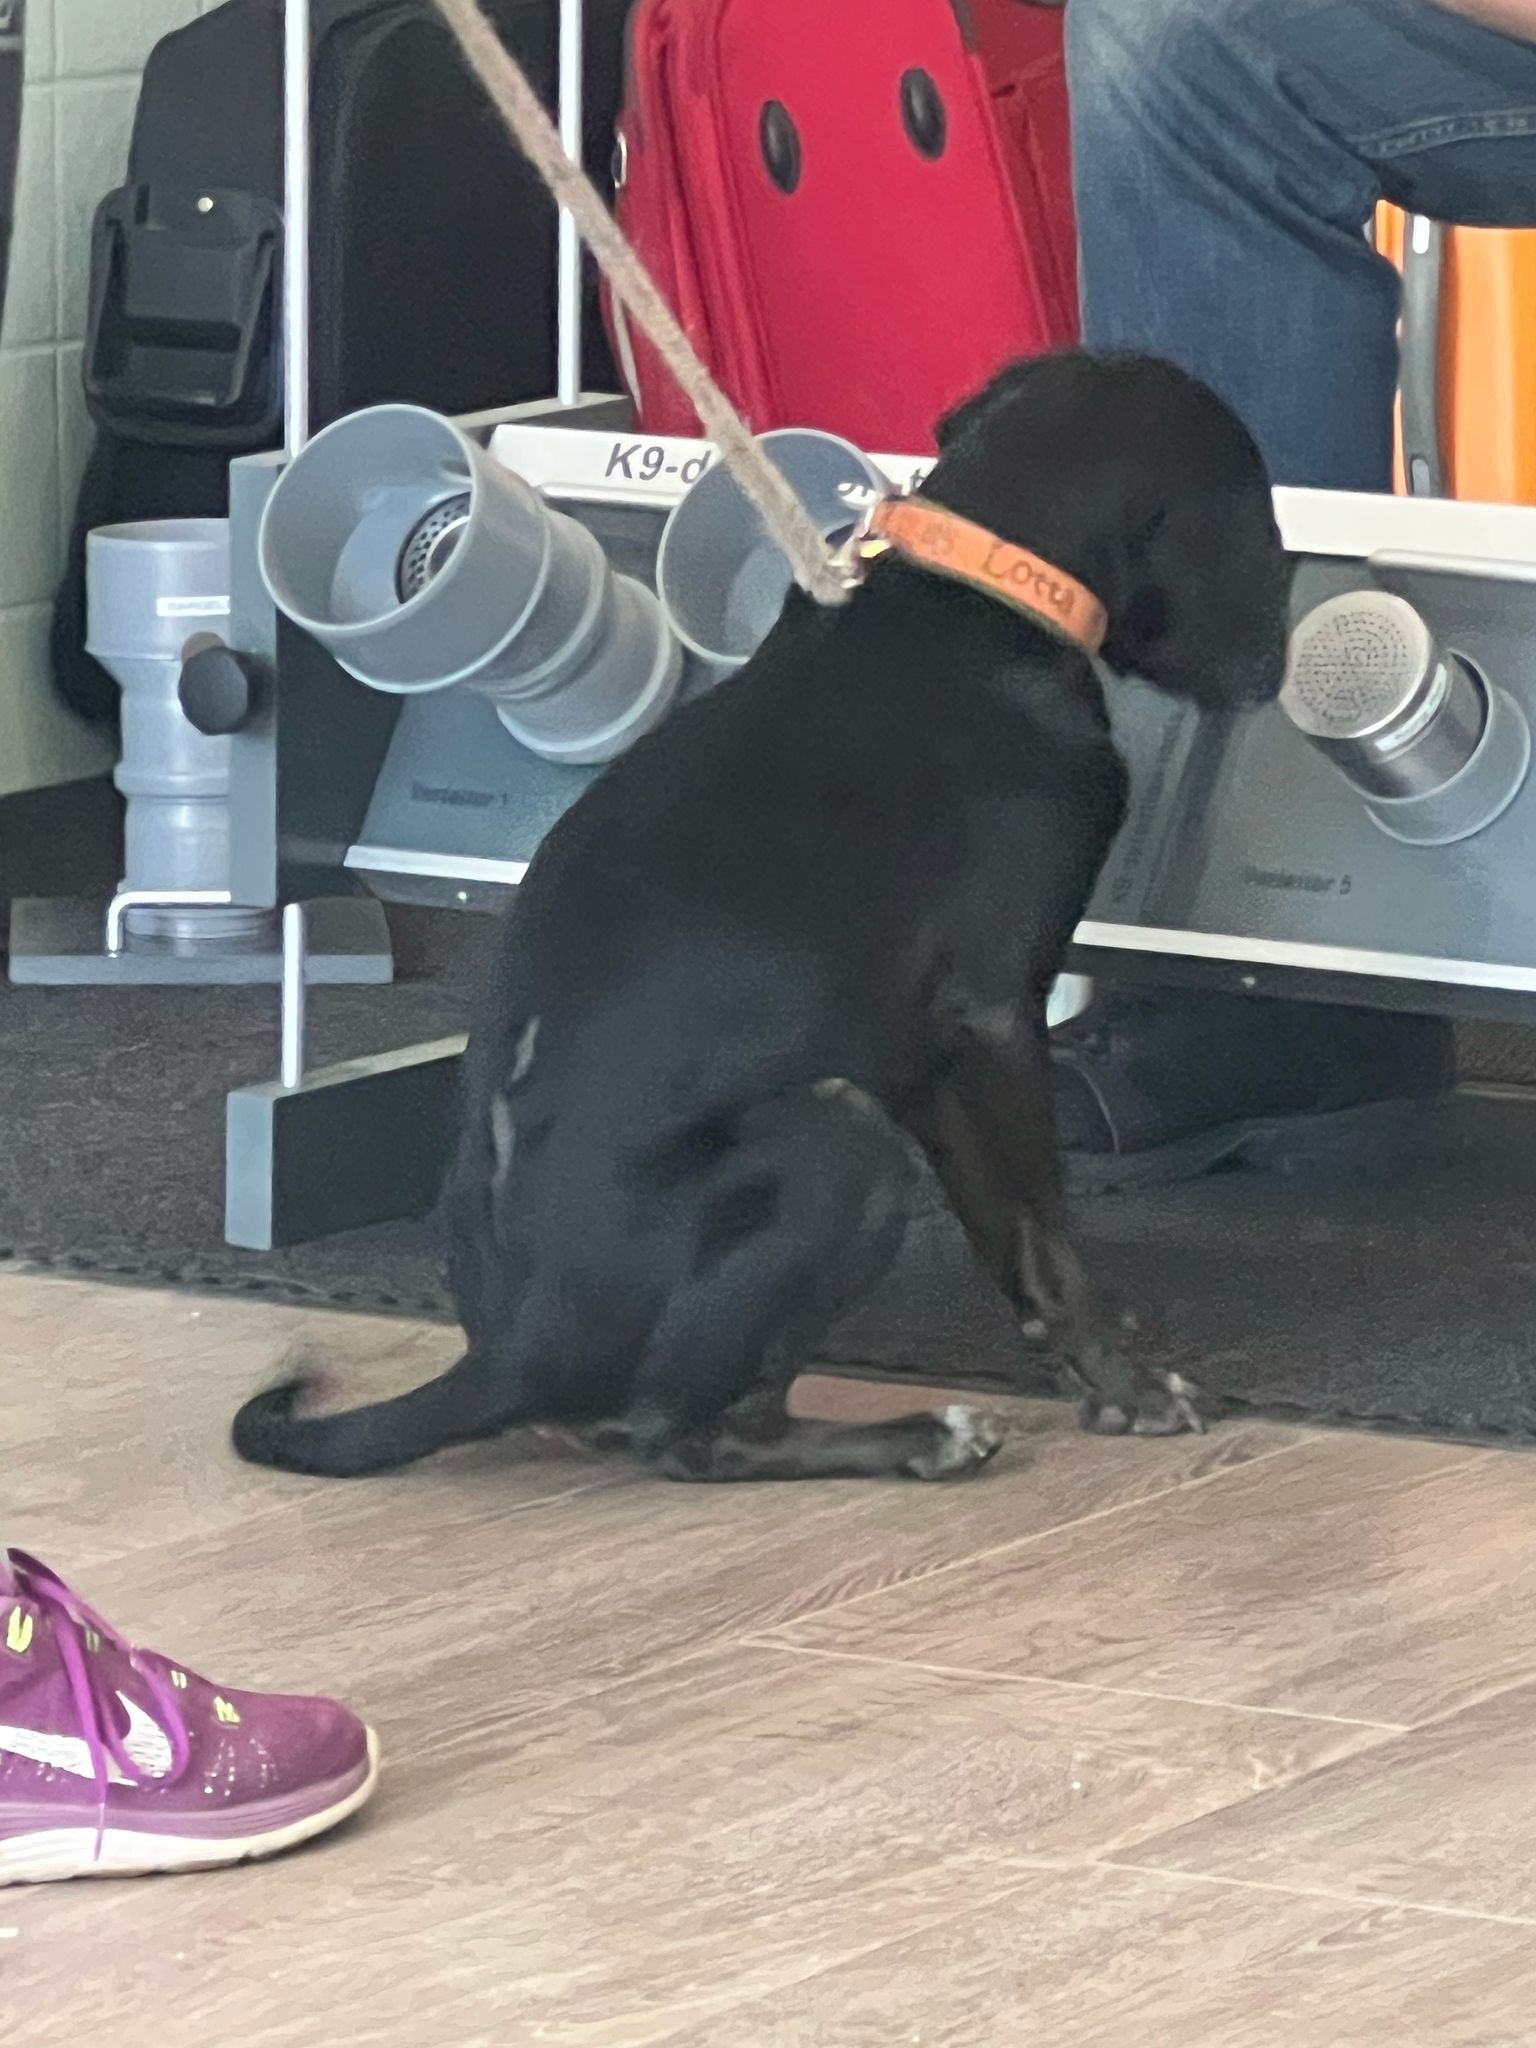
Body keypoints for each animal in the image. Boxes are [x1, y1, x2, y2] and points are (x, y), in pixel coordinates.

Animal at [233, 350, 1292, 1485]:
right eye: (1257, 512)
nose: (1273, 662)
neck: (970, 589)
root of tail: (507, 1362)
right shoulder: (993, 1018)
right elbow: (1042, 1234)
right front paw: (1127, 1385)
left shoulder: (930, 1061)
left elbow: (1007, 1234)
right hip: (839, 1136)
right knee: (689, 1434)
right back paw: (922, 1436)